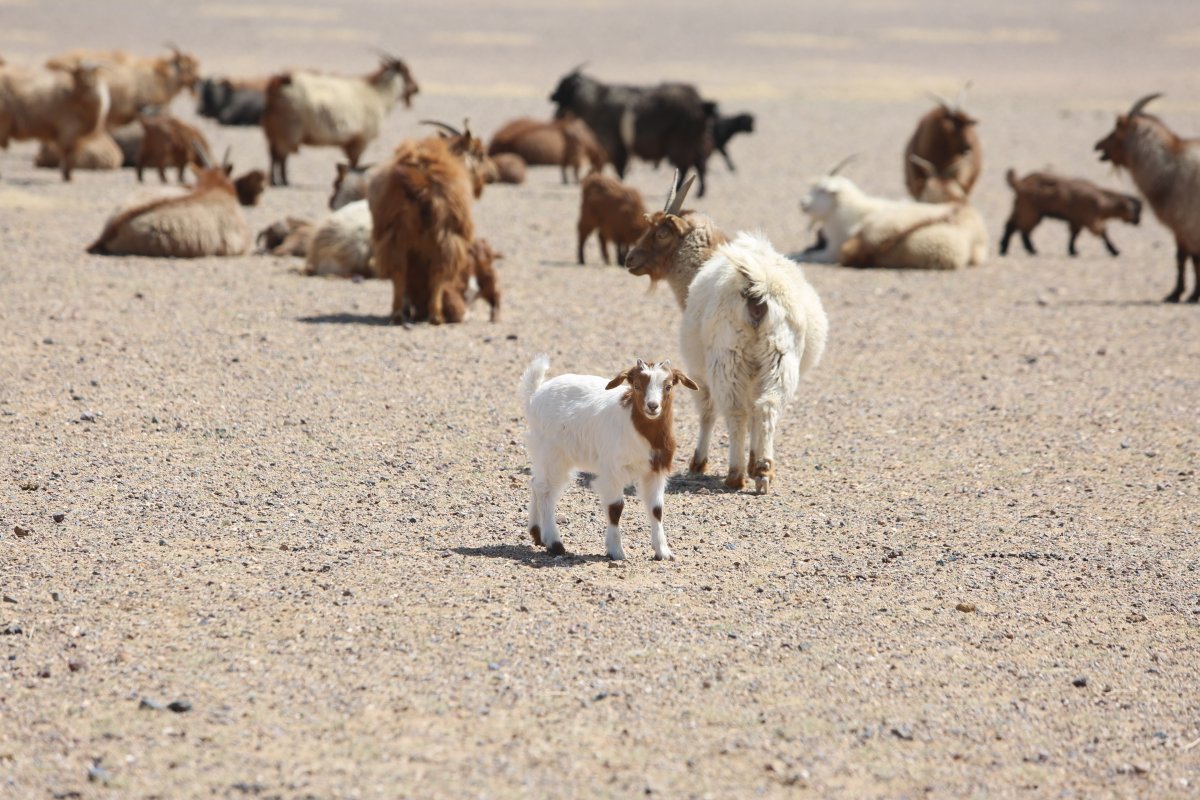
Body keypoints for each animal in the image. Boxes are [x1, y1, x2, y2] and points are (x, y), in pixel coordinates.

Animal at [262, 56, 417, 188]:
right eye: (406, 72)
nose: (417, 88)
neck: (378, 94)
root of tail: (279, 82)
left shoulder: (352, 141)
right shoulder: (360, 140)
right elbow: (354, 163)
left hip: (274, 131)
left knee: (274, 154)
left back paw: (276, 180)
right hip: (287, 129)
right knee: (281, 156)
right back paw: (282, 181)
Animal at [520, 357, 700, 563]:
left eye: (668, 386)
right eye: (637, 385)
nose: (652, 406)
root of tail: (534, 395)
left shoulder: (655, 470)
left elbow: (656, 509)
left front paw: (663, 551)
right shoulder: (613, 469)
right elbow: (616, 507)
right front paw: (616, 551)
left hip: (545, 454)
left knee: (537, 483)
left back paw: (537, 534)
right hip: (553, 453)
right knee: (546, 491)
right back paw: (554, 543)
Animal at [998, 169, 1137, 256]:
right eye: (1134, 210)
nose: (1136, 221)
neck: (1101, 202)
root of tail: (1019, 183)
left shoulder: (1078, 220)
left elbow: (1074, 235)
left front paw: (1072, 250)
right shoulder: (1089, 217)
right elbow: (1102, 231)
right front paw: (1115, 251)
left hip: (1023, 208)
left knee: (1014, 226)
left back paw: (1013, 248)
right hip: (1029, 210)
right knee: (1019, 227)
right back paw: (1021, 249)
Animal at [1099, 92, 1200, 303]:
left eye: (1116, 130)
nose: (1097, 145)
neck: (1170, 168)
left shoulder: (1187, 223)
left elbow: (1187, 258)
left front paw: (1183, 294)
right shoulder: (1185, 227)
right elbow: (1186, 257)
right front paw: (1183, 294)